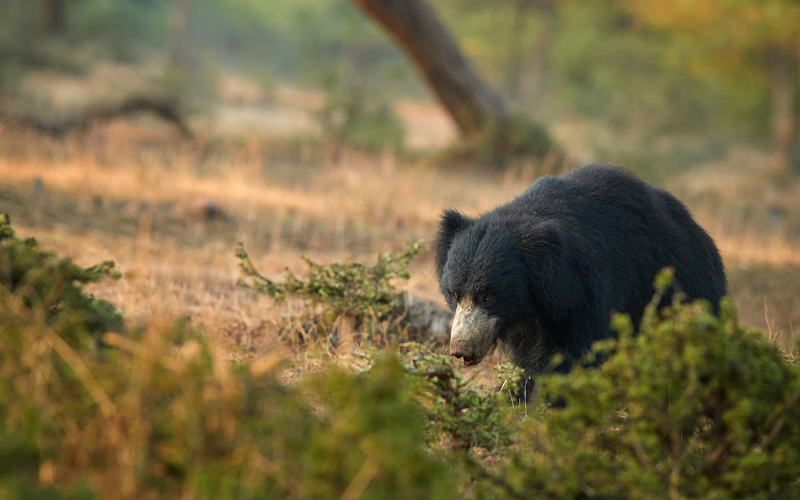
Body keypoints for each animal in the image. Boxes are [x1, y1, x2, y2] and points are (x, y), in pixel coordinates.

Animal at [434, 166, 728, 396]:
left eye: (488, 296)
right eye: (455, 294)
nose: (461, 349)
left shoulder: (583, 288)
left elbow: (572, 351)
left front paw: (517, 396)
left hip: (682, 290)